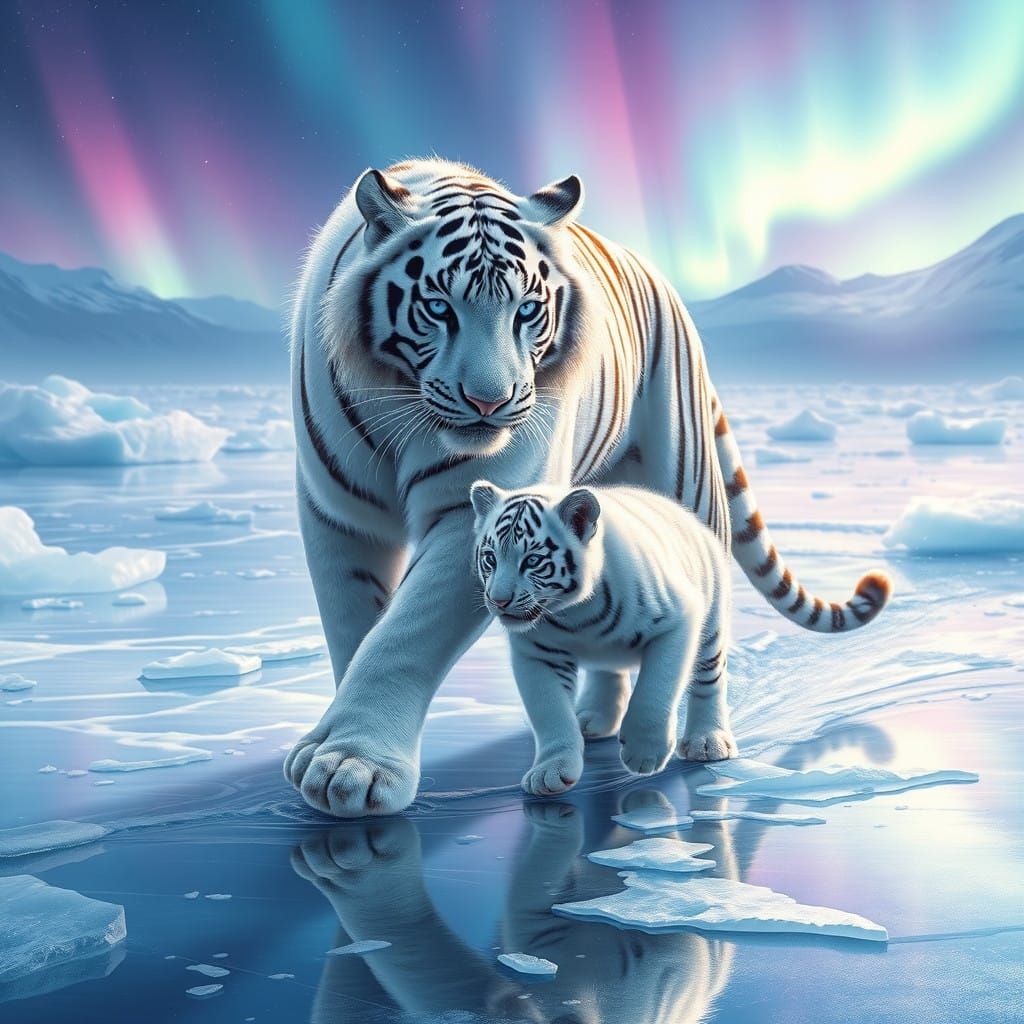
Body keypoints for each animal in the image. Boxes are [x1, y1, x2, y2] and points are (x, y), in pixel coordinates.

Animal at [470, 479, 744, 795]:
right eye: (490, 558)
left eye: (533, 560)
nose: (498, 600)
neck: (576, 613)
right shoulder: (538, 653)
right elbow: (550, 710)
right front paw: (550, 772)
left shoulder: (678, 621)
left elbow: (655, 690)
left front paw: (644, 751)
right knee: (607, 671)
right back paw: (593, 720)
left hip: (711, 625)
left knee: (708, 680)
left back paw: (707, 742)